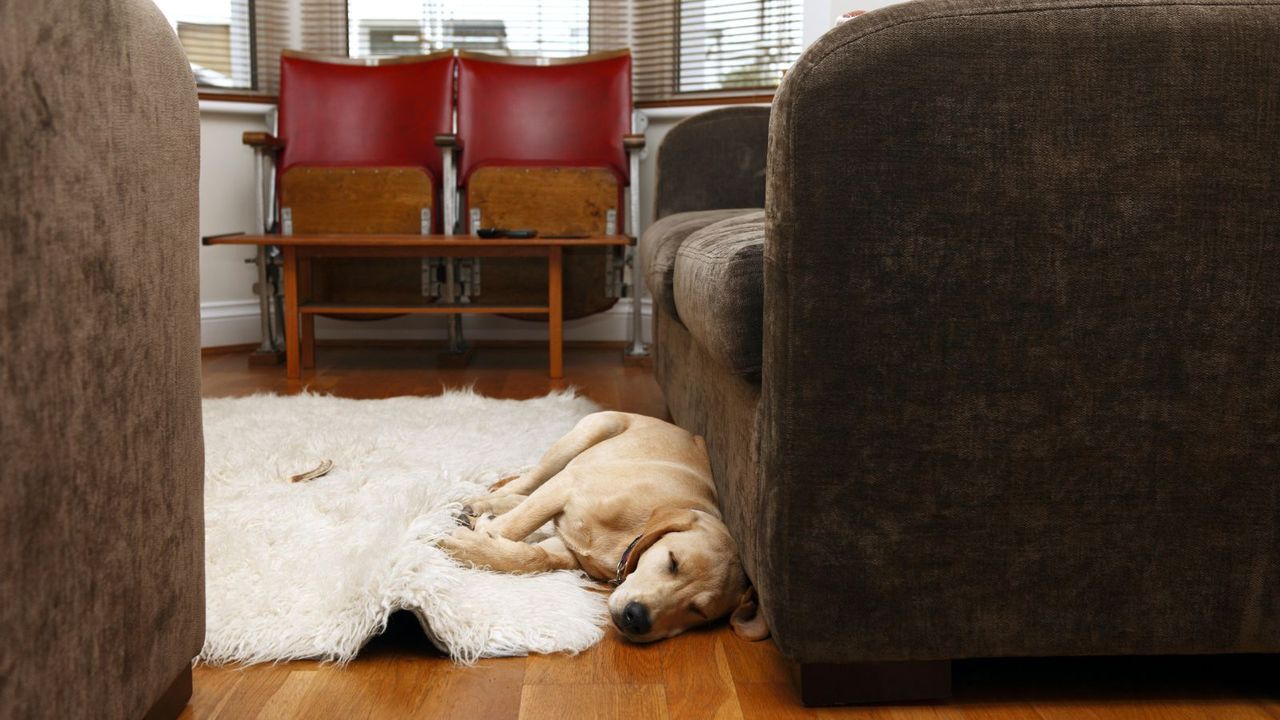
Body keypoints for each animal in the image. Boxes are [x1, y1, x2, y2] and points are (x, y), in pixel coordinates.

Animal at [440, 409, 762, 638]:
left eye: (698, 611)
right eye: (673, 562)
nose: (636, 619)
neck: (628, 540)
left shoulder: (567, 547)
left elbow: (533, 557)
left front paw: (478, 543)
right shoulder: (567, 485)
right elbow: (517, 524)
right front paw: (477, 536)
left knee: (522, 494)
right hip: (587, 435)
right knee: (526, 484)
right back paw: (479, 504)